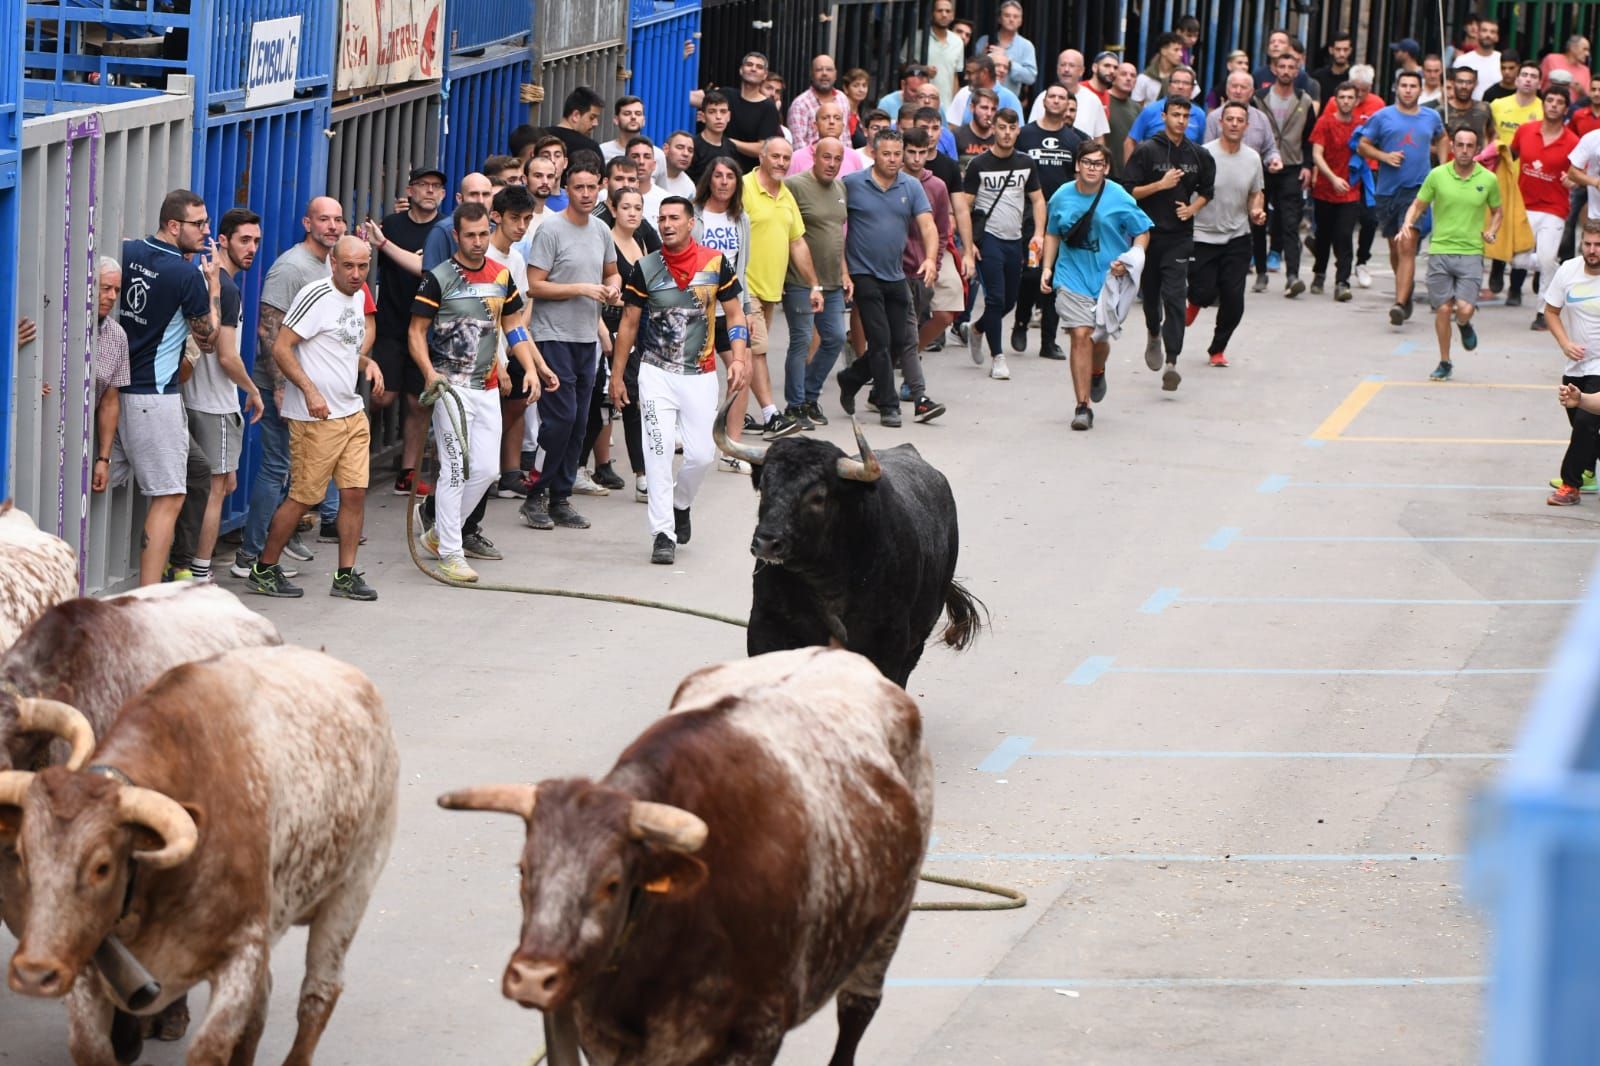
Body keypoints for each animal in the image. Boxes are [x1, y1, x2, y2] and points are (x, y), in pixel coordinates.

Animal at [716, 398, 985, 681]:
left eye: (819, 497)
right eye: (764, 486)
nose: (767, 543)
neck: (826, 579)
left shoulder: (890, 641)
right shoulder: (765, 624)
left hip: (919, 636)